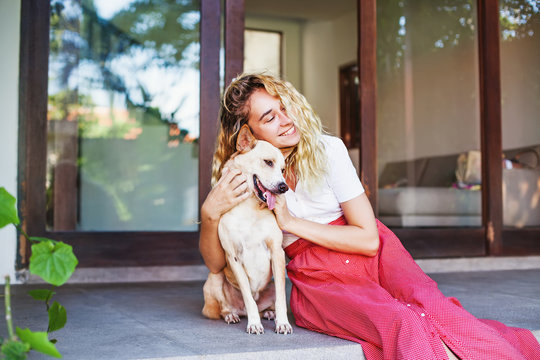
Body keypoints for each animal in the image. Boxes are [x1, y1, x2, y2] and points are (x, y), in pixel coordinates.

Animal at [202, 124, 294, 334]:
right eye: (268, 162)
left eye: (283, 169)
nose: (284, 187)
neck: (250, 208)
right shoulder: (233, 256)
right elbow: (248, 297)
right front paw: (254, 324)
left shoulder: (277, 252)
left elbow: (281, 300)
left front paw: (283, 322)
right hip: (214, 278)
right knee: (225, 307)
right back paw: (232, 315)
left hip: (271, 285)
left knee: (268, 303)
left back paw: (268, 313)